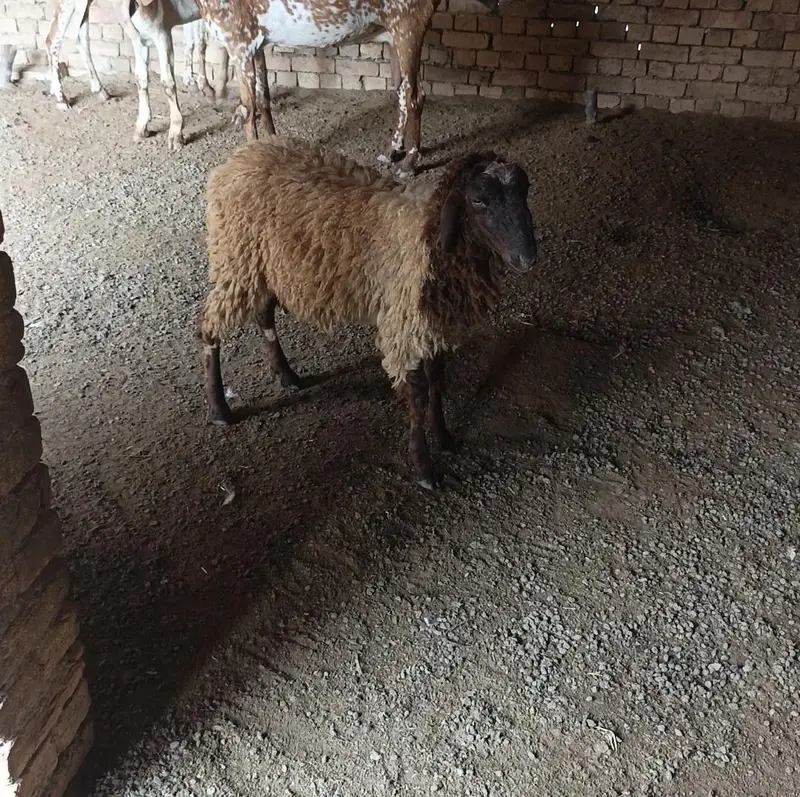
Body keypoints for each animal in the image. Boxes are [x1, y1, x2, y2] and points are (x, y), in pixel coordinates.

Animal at [197, 137, 538, 488]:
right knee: (208, 325)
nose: (526, 258)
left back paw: (287, 376)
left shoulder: (431, 324)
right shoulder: (403, 326)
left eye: (524, 191)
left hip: (262, 266)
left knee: (263, 313)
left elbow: (438, 381)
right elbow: (418, 394)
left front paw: (444, 437)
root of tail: (240, 157)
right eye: (478, 199)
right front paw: (424, 469)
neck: (426, 235)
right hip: (236, 258)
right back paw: (219, 409)